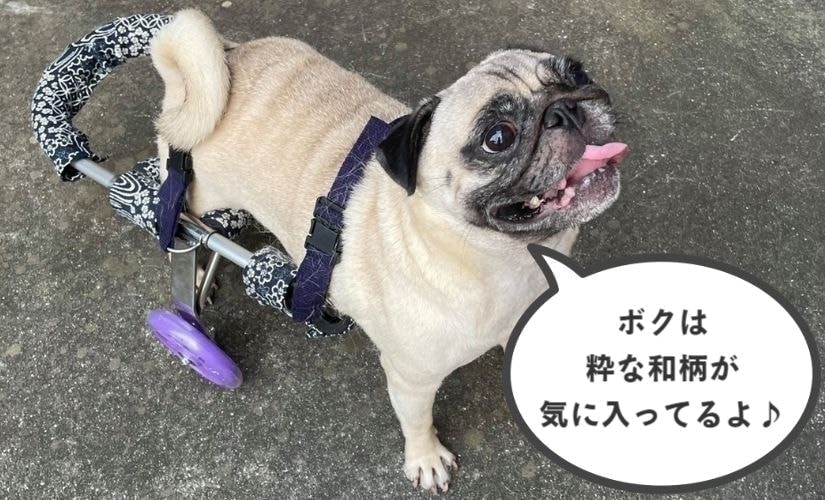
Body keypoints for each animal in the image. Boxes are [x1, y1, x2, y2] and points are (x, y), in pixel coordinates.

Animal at [150, 9, 628, 492]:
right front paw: (426, 459)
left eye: (577, 73)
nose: (565, 108)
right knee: (175, 218)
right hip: (195, 187)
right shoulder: (410, 378)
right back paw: (191, 271)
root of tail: (228, 57)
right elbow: (417, 421)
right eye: (498, 138)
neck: (502, 259)